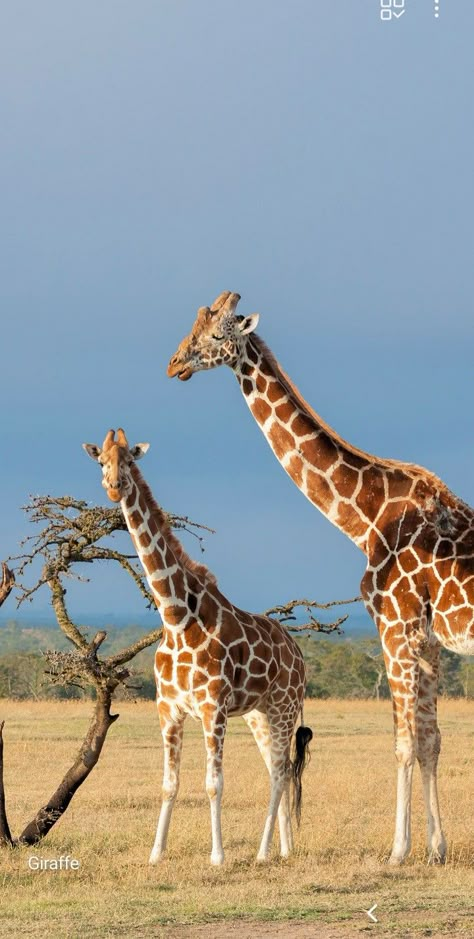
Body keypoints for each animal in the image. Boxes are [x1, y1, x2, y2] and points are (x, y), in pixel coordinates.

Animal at [82, 430, 312, 864]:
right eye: (100, 460)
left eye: (130, 460)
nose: (114, 486)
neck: (175, 617)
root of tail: (299, 654)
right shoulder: (168, 710)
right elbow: (169, 784)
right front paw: (156, 853)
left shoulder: (212, 708)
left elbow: (213, 783)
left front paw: (217, 856)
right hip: (258, 714)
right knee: (279, 768)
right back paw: (285, 850)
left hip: (285, 706)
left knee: (280, 772)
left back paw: (262, 852)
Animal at [168, 290, 474, 864]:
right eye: (192, 325)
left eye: (217, 333)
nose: (175, 363)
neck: (366, 516)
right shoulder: (426, 641)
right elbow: (430, 740)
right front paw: (436, 850)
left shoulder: (396, 627)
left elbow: (404, 742)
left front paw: (398, 851)